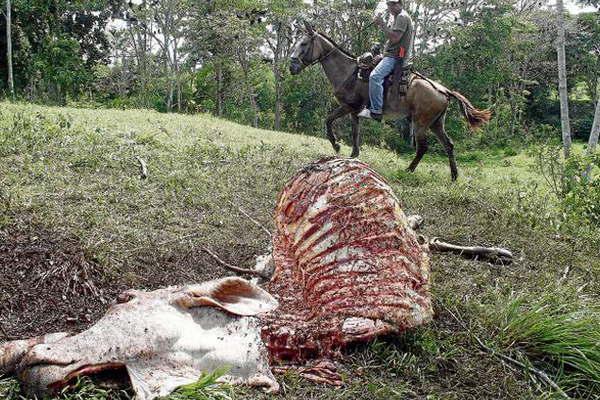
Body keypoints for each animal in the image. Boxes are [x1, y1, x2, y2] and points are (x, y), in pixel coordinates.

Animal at [288, 20, 490, 180]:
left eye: (304, 43)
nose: (292, 66)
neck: (348, 72)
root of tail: (444, 90)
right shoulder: (355, 111)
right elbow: (355, 133)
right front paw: (353, 155)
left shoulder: (347, 106)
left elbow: (328, 120)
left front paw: (336, 145)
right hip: (436, 123)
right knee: (448, 145)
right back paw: (454, 176)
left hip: (421, 122)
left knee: (423, 147)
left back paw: (408, 170)